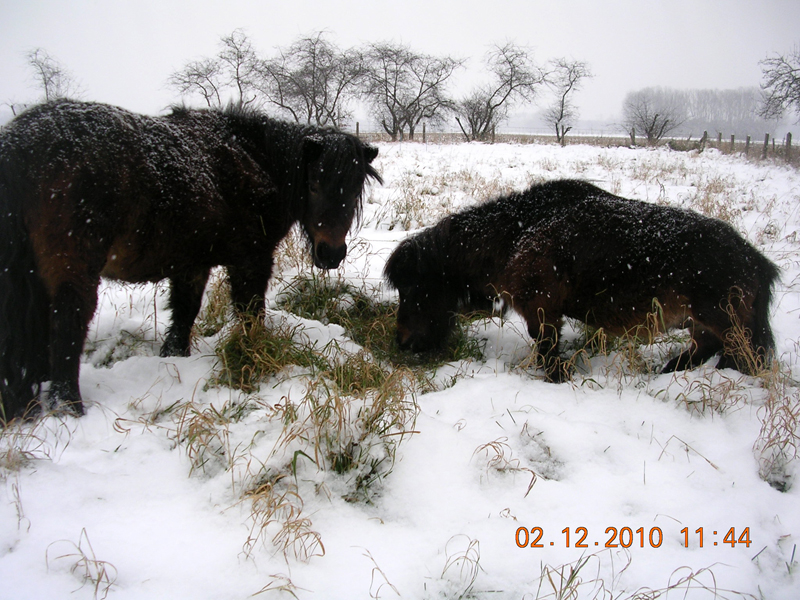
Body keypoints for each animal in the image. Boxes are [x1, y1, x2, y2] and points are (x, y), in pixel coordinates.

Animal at [0, 99, 382, 422]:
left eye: (355, 190)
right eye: (313, 184)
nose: (331, 254)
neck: (254, 160)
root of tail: (21, 145)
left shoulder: (191, 264)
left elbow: (184, 314)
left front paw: (174, 360)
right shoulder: (250, 261)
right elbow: (250, 314)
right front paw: (252, 356)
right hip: (73, 271)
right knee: (67, 328)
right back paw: (68, 408)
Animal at [384, 180, 780, 382]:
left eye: (416, 287)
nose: (403, 341)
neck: (515, 232)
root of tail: (756, 261)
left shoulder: (541, 310)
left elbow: (547, 348)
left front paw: (560, 377)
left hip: (724, 322)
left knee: (741, 356)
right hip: (702, 323)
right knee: (705, 350)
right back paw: (664, 373)